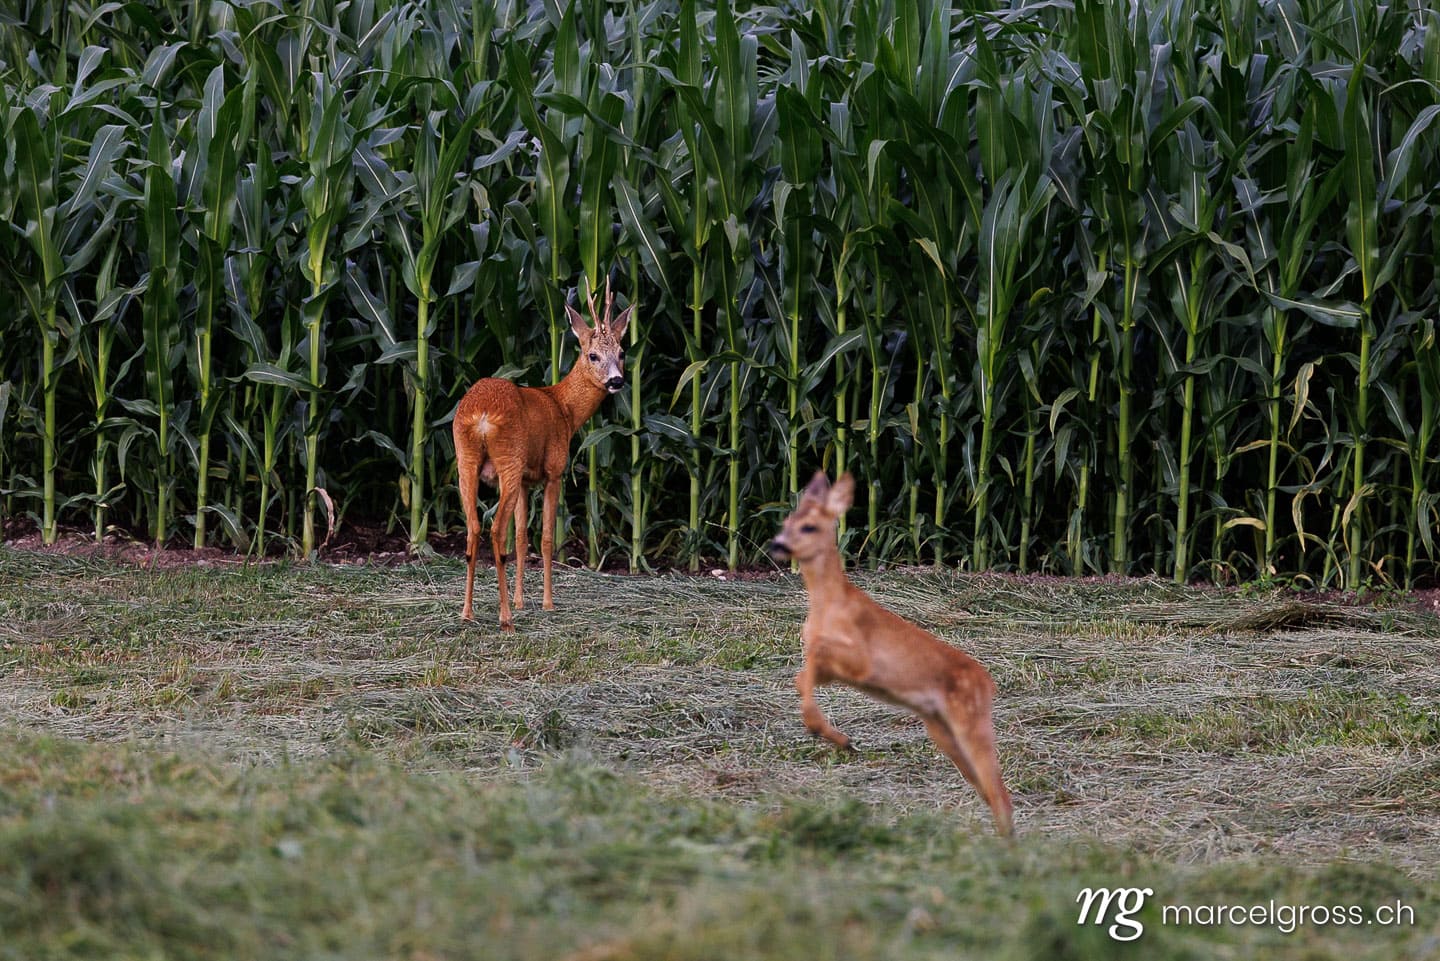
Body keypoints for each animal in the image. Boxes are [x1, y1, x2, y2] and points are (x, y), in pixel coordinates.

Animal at [452, 280, 633, 630]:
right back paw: (505, 619)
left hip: (465, 460)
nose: (617, 381)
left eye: (621, 353)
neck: (563, 409)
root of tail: (481, 417)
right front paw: (546, 603)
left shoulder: (525, 480)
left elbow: (523, 538)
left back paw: (467, 612)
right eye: (592, 355)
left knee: (473, 530)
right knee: (496, 531)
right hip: (508, 459)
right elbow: (547, 538)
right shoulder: (553, 471)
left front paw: (522, 601)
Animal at [767, 471, 1015, 837]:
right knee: (989, 789)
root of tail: (989, 683)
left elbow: (815, 656)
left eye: (809, 527)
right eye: (786, 522)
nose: (778, 545)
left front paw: (832, 735)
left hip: (970, 718)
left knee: (998, 791)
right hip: (940, 728)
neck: (828, 607)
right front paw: (836, 737)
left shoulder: (862, 662)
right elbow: (802, 675)